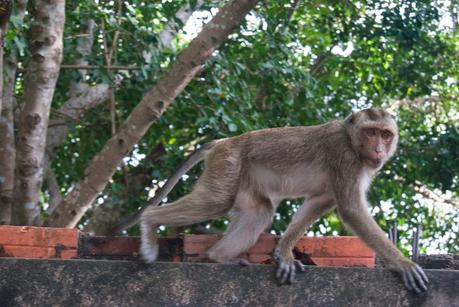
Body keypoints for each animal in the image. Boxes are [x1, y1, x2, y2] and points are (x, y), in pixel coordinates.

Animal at [138, 108, 430, 294]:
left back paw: (219, 256)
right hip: (228, 161)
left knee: (260, 212)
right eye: (371, 133)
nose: (379, 150)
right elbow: (351, 210)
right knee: (216, 200)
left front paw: (284, 252)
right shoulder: (343, 156)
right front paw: (404, 264)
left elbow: (320, 201)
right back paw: (149, 222)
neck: (350, 140)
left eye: (386, 134)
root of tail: (223, 141)